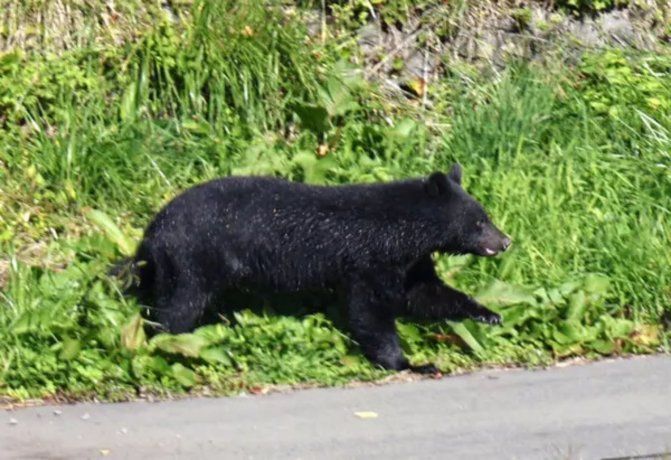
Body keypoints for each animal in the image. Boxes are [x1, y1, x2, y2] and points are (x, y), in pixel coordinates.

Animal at [124, 164, 511, 374]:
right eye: (479, 222)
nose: (505, 240)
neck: (402, 231)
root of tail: (152, 232)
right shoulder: (368, 260)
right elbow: (369, 311)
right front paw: (407, 362)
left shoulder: (409, 263)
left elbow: (426, 293)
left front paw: (488, 314)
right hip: (192, 258)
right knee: (178, 306)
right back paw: (165, 346)